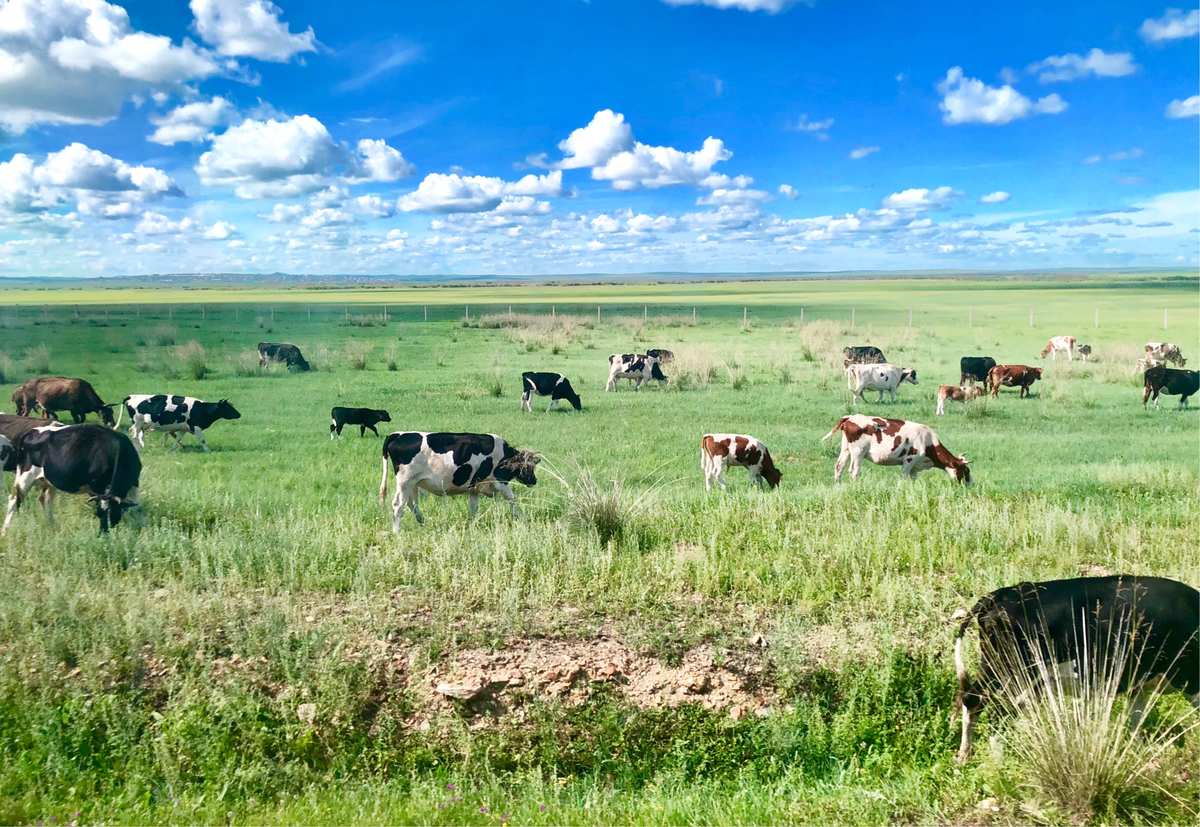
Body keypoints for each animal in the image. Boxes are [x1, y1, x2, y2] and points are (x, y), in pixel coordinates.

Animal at [1, 422, 142, 532]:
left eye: (114, 514)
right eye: (99, 514)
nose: (103, 535)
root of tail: (32, 431)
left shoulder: (134, 484)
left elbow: (135, 509)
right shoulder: (97, 487)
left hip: (49, 480)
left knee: (45, 500)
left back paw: (52, 526)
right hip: (25, 476)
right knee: (14, 500)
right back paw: (5, 531)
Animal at [379, 429, 540, 525]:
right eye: (528, 467)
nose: (534, 481)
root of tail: (397, 434)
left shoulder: (474, 487)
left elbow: (473, 508)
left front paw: (472, 524)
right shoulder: (500, 481)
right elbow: (513, 499)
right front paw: (521, 519)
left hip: (413, 483)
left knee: (411, 503)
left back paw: (422, 521)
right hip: (405, 481)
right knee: (398, 505)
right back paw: (397, 533)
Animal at [820, 412, 969, 484]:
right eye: (966, 471)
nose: (970, 485)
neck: (928, 441)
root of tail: (850, 417)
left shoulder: (915, 467)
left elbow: (913, 479)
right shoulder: (909, 460)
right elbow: (904, 477)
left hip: (846, 449)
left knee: (839, 467)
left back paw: (838, 486)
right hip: (858, 452)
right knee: (854, 471)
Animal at [950, 573, 1195, 763]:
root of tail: (999, 595)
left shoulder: (1140, 686)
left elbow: (1135, 720)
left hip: (997, 666)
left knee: (975, 698)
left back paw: (965, 754)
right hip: (1012, 668)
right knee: (993, 704)